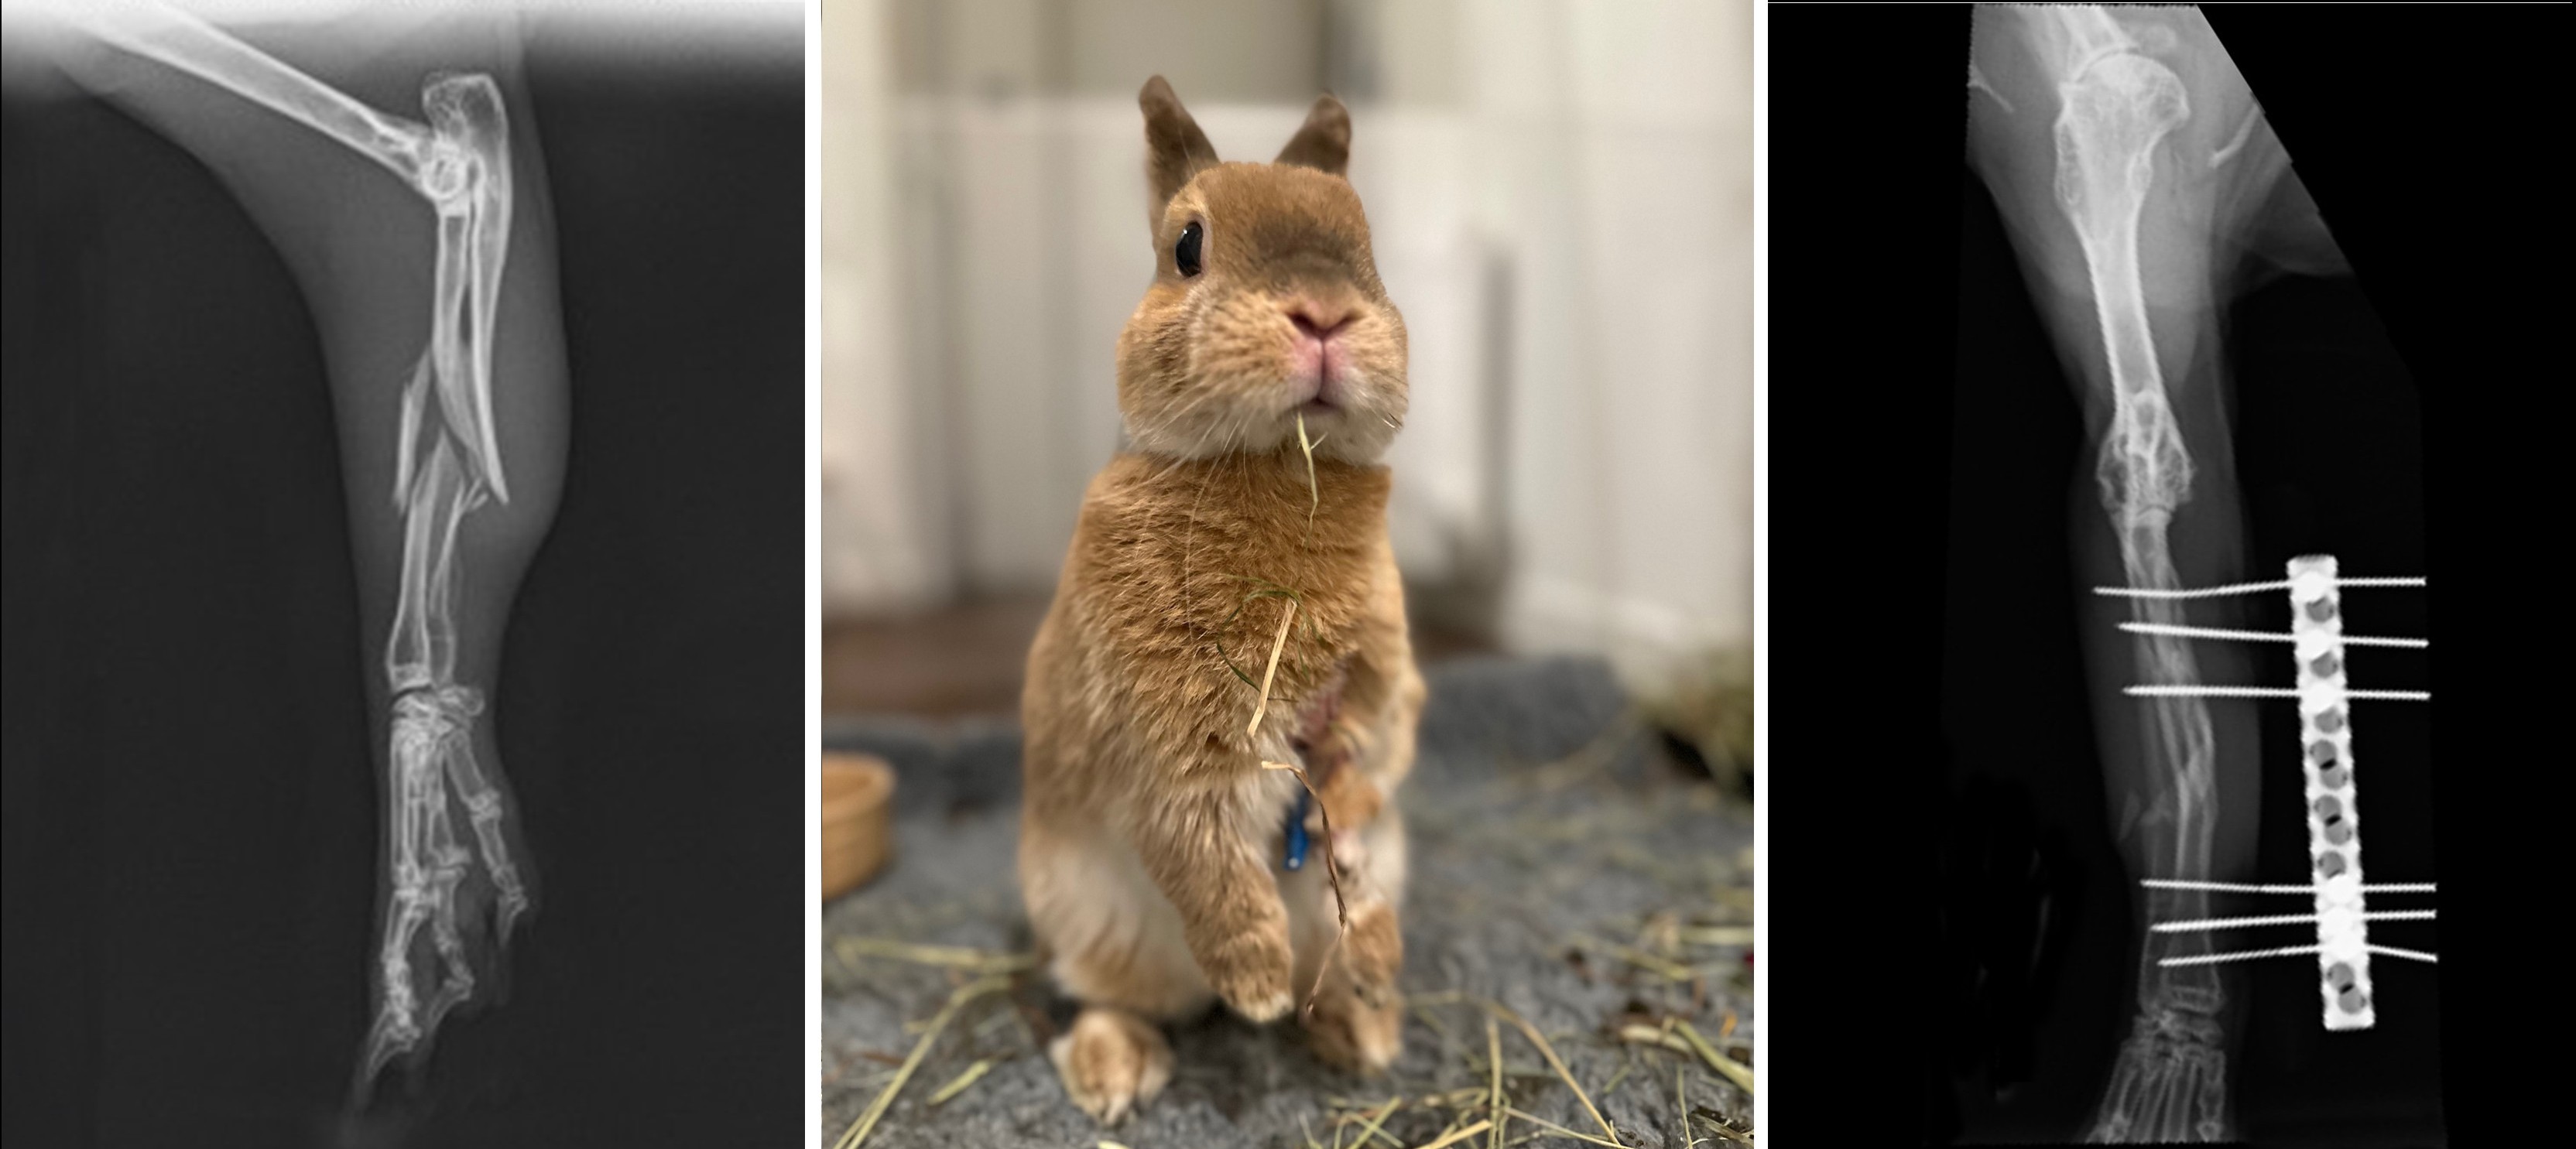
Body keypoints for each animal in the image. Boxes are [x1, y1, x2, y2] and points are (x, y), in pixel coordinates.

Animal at [1017, 75, 1427, 1126]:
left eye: (1368, 247)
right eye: (1187, 247)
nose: (1323, 315)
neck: (1280, 465)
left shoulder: (1382, 684)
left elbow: (1374, 760)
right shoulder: (1168, 748)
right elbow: (1202, 855)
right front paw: (1256, 984)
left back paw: (1362, 1018)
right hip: (1095, 922)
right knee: (1117, 995)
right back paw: (1121, 1067)